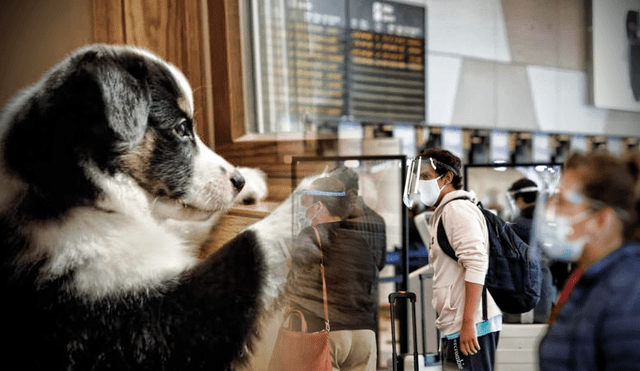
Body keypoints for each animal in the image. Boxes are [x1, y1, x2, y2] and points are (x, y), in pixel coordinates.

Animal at [0, 45, 294, 370]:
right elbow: (249, 247)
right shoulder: (145, 323)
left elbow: (182, 224)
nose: (238, 181)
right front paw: (310, 197)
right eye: (181, 128)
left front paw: (253, 179)